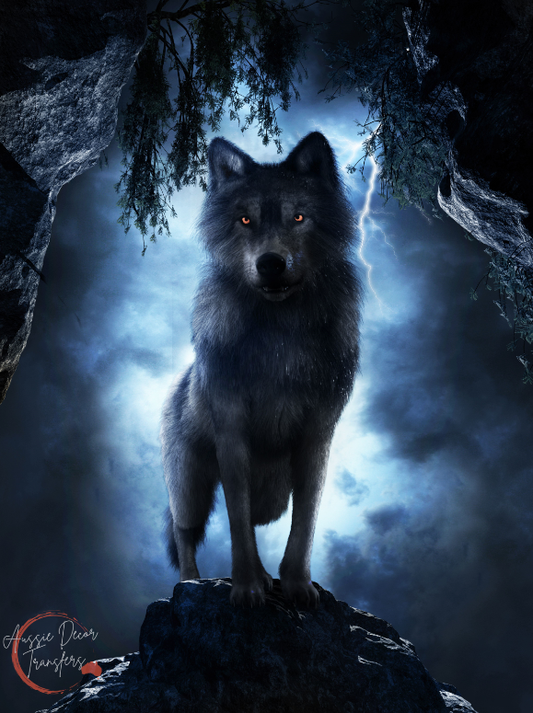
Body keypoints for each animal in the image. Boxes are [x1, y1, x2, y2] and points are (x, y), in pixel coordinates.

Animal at [161, 131, 361, 608]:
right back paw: (189, 584)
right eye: (245, 220)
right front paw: (247, 587)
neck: (281, 338)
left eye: (299, 217)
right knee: (184, 531)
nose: (271, 263)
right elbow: (236, 521)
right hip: (191, 485)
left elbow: (304, 522)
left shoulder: (317, 436)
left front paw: (296, 586)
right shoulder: (232, 433)